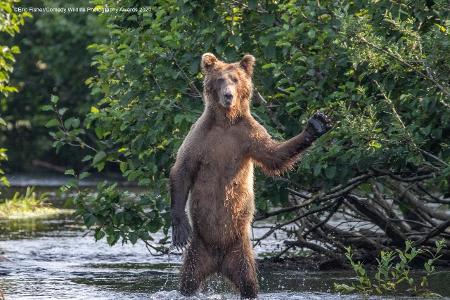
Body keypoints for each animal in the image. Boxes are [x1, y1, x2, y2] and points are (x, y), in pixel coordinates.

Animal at [171, 52, 332, 298]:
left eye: (236, 79)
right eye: (220, 79)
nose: (228, 95)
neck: (225, 122)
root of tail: (218, 261)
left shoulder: (248, 135)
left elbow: (273, 155)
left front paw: (316, 124)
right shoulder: (200, 137)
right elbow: (183, 169)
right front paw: (179, 229)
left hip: (240, 251)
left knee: (248, 282)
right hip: (199, 248)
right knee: (188, 281)